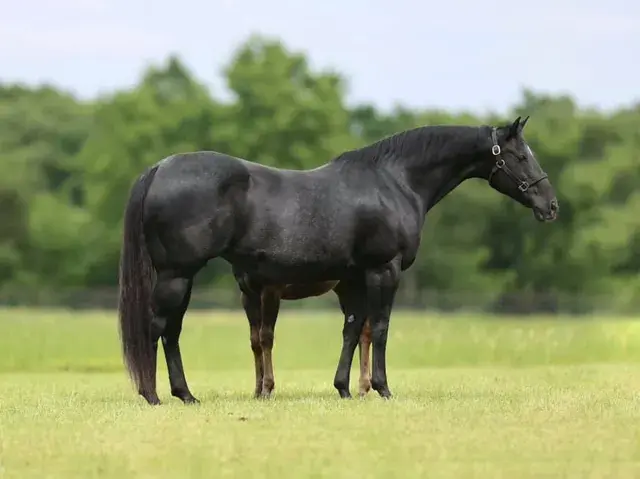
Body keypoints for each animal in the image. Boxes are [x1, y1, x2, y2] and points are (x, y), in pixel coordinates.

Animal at [117, 116, 558, 405]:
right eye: (521, 156)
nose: (550, 205)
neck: (394, 182)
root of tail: (160, 168)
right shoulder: (383, 270)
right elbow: (380, 328)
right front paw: (382, 388)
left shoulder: (354, 278)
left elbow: (351, 330)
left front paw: (345, 388)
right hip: (177, 274)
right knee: (159, 327)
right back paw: (157, 395)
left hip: (183, 277)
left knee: (170, 330)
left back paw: (183, 395)